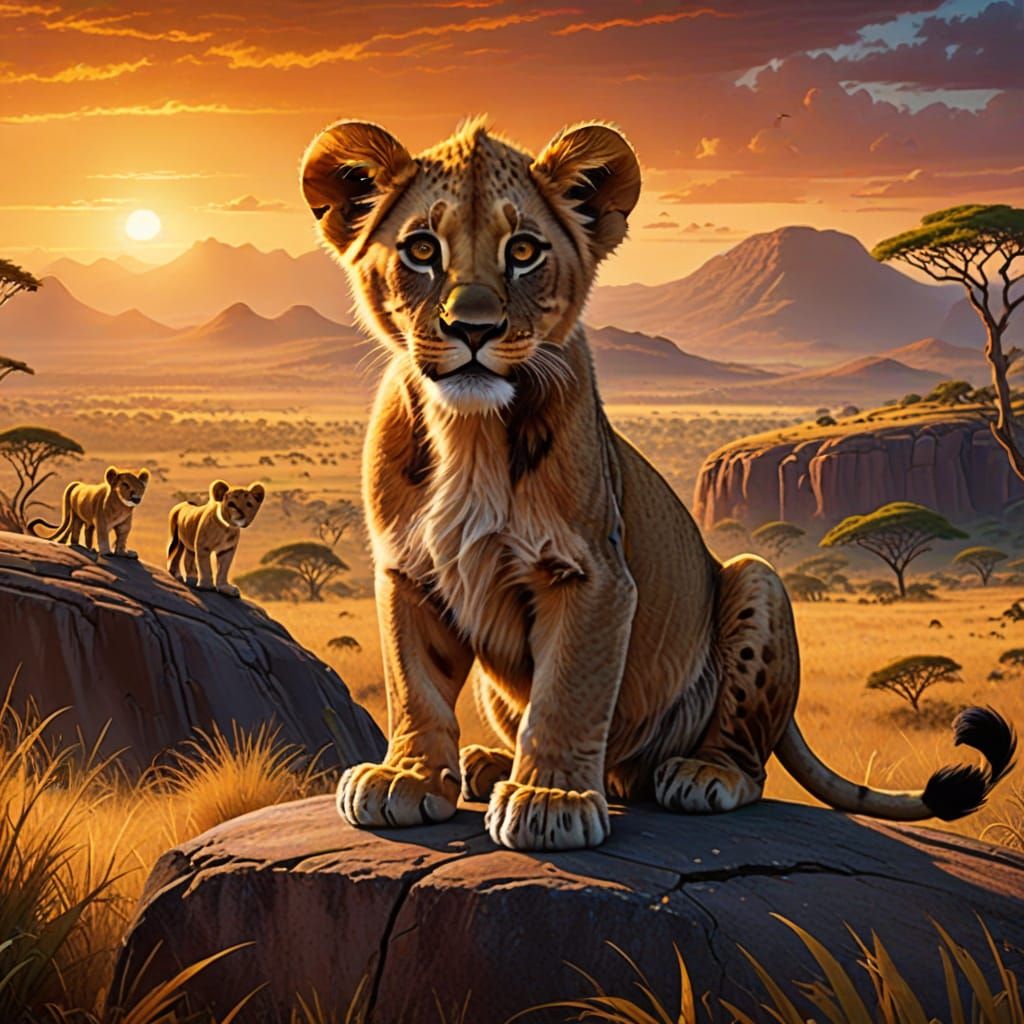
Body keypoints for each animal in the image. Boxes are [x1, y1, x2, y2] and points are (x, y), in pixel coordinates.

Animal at [300, 116, 1016, 851]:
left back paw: (700, 773)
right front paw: (407, 778)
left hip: (756, 576)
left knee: (738, 759)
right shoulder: (408, 570)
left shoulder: (594, 573)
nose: (473, 328)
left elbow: (568, 692)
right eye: (421, 249)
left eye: (523, 250)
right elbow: (414, 683)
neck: (468, 429)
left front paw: (550, 800)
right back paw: (486, 761)